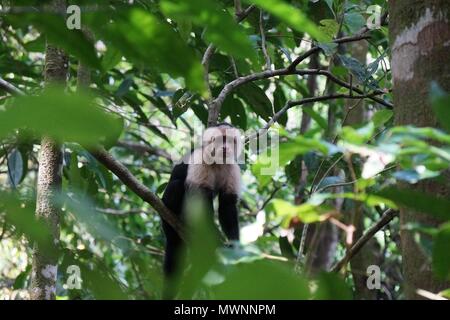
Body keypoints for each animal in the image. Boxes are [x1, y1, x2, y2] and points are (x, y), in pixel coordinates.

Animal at [161, 122, 243, 298]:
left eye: (230, 140)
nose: (225, 148)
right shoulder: (199, 160)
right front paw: (215, 235)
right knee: (176, 185)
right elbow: (200, 197)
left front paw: (234, 243)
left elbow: (227, 205)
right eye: (219, 140)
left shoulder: (232, 167)